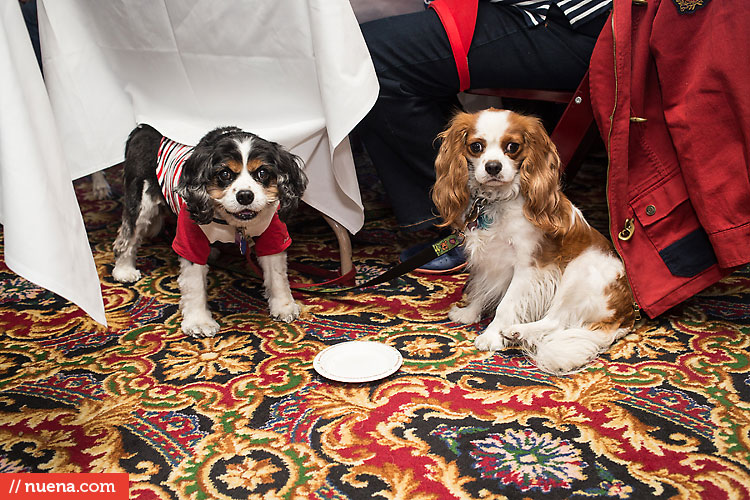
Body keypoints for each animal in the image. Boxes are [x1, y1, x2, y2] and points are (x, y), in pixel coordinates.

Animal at [432, 109, 636, 374]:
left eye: (512, 147)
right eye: (476, 146)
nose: (493, 166)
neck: (496, 202)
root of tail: (626, 315)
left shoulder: (527, 268)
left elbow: (505, 305)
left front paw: (491, 335)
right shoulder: (486, 261)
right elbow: (480, 289)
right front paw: (470, 314)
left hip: (579, 273)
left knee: (556, 321)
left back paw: (517, 332)